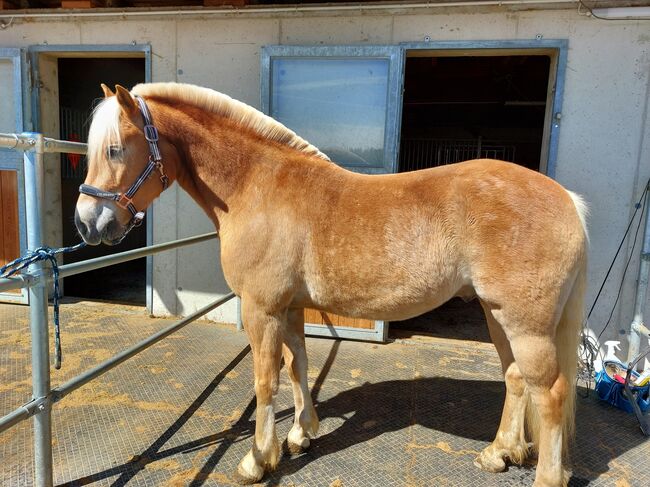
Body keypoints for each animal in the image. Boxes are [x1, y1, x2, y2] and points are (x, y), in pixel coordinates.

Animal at [76, 82, 588, 486]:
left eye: (116, 149)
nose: (87, 223)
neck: (255, 186)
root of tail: (568, 200)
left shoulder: (261, 308)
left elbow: (265, 379)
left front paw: (257, 460)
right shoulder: (290, 307)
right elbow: (298, 366)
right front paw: (301, 434)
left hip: (525, 323)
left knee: (551, 392)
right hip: (496, 313)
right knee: (515, 378)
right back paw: (499, 453)